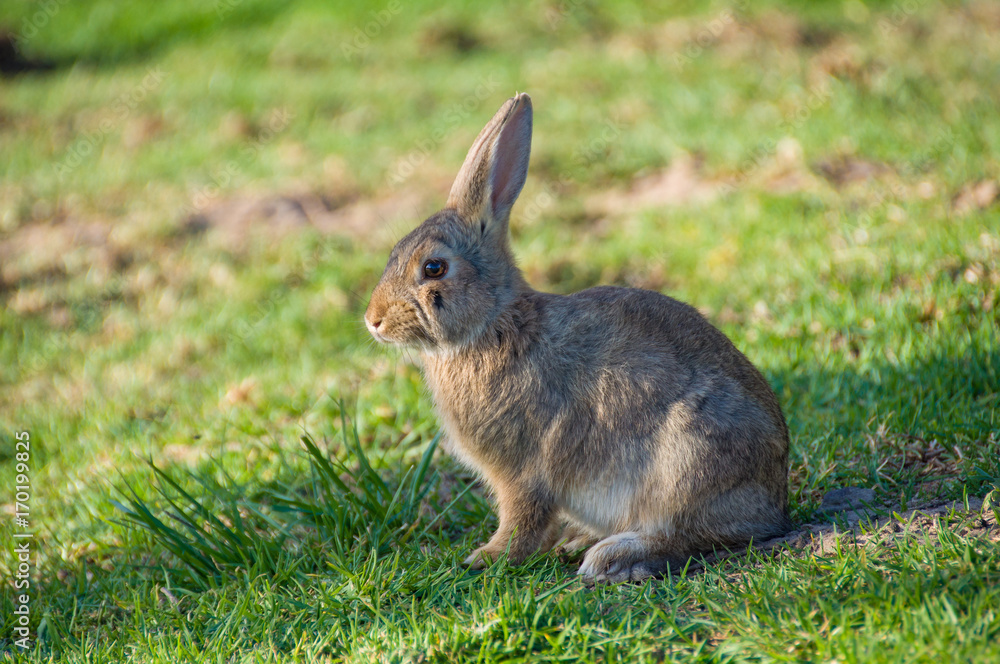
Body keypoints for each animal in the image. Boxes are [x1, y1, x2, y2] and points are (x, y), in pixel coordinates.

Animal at [364, 93, 791, 583]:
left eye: (433, 267)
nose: (373, 320)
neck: (492, 325)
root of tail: (775, 505)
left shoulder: (523, 472)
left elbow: (523, 518)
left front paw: (488, 557)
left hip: (686, 461)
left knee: (685, 534)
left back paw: (612, 557)